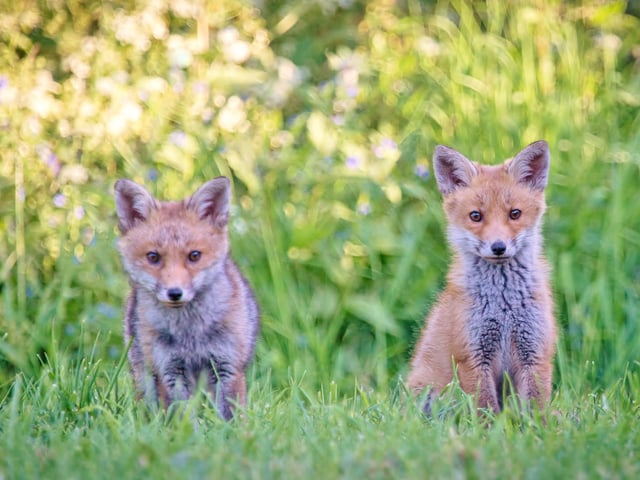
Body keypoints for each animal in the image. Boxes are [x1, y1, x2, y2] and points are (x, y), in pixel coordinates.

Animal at [114, 177, 259, 420]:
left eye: (194, 255)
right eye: (153, 257)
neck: (190, 333)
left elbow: (231, 418)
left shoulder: (227, 366)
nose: (175, 293)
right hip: (145, 375)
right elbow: (184, 418)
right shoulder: (170, 370)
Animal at [407, 140, 557, 414]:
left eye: (515, 214)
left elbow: (535, 408)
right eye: (476, 216)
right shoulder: (472, 355)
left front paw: (539, 426)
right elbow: (486, 409)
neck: (504, 306)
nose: (498, 247)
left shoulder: (536, 352)